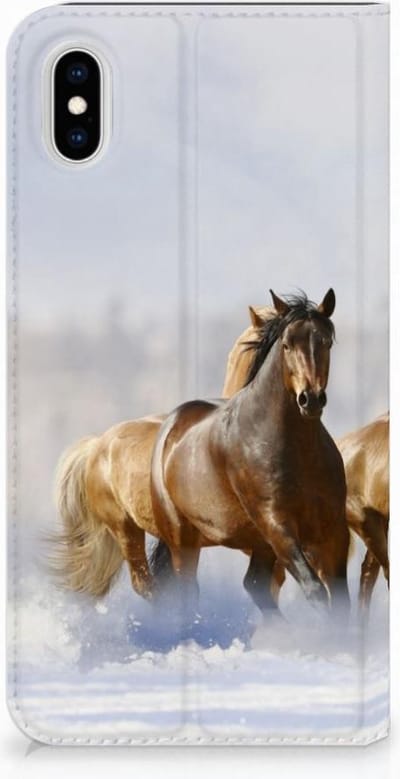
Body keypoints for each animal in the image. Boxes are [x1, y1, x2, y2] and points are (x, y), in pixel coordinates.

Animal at [150, 289, 350, 616]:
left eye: (326, 342)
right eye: (287, 344)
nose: (310, 399)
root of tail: (171, 426)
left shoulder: (333, 529)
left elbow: (341, 600)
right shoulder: (277, 525)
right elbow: (315, 590)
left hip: (259, 544)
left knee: (255, 584)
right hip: (183, 539)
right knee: (188, 592)